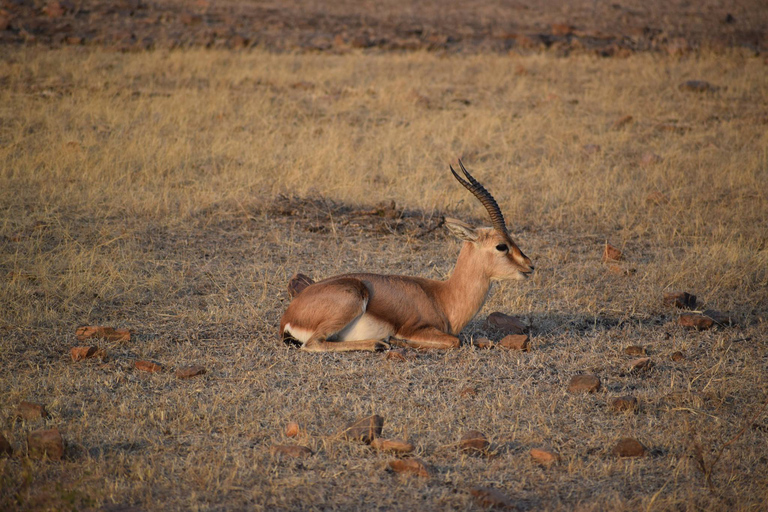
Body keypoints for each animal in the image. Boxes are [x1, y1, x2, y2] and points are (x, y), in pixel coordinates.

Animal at [280, 161, 536, 352]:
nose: (530, 265)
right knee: (313, 344)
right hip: (350, 301)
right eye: (501, 246)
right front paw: (397, 340)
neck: (443, 298)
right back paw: (378, 344)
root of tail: (289, 315)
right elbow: (455, 340)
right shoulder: (418, 329)